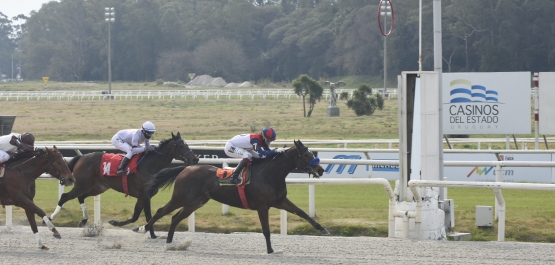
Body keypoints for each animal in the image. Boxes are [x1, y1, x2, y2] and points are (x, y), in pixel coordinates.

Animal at [48, 131, 199, 236]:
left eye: (186, 143)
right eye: (180, 145)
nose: (195, 159)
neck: (150, 165)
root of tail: (82, 157)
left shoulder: (143, 196)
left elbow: (136, 216)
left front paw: (119, 223)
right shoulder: (145, 195)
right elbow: (147, 216)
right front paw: (151, 234)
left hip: (97, 187)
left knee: (80, 197)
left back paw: (84, 220)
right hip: (83, 185)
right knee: (65, 197)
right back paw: (51, 218)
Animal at [135, 139, 330, 253]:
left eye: (311, 153)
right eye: (306, 155)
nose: (321, 169)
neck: (269, 174)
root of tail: (185, 168)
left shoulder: (280, 201)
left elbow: (302, 213)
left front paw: (323, 229)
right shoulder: (262, 206)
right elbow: (266, 229)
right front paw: (270, 250)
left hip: (195, 202)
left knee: (175, 217)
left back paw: (170, 243)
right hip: (181, 197)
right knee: (161, 211)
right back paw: (143, 229)